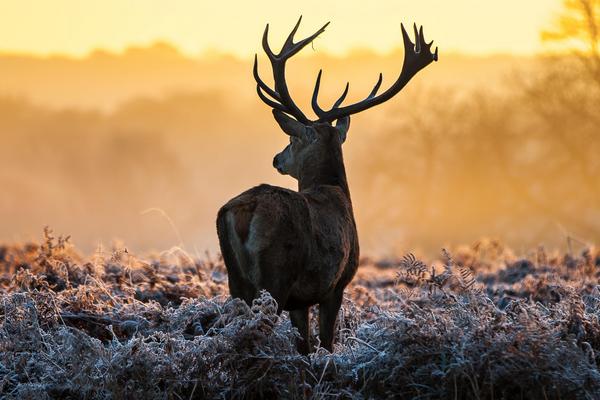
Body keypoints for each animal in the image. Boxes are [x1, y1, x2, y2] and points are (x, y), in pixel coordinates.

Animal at [216, 17, 436, 354]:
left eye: (292, 139)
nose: (277, 159)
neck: (335, 191)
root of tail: (243, 211)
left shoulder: (301, 300)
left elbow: (304, 345)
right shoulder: (336, 284)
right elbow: (326, 343)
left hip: (236, 279)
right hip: (275, 274)